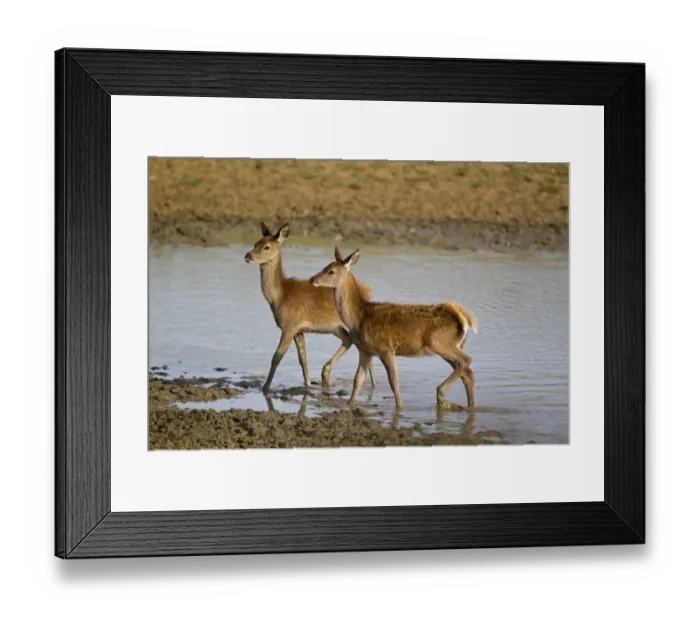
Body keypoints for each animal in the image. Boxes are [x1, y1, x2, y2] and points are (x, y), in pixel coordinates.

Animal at [244, 223, 376, 394]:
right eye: (255, 243)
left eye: (266, 246)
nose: (248, 256)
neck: (280, 295)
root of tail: (367, 290)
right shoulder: (299, 330)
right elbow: (302, 358)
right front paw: (307, 383)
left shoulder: (289, 326)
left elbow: (276, 357)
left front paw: (265, 387)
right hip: (337, 328)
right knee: (351, 343)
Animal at [309, 247, 478, 411]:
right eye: (325, 266)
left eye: (331, 271)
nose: (312, 280)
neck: (359, 318)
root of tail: (462, 315)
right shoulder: (365, 350)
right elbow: (358, 379)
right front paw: (350, 405)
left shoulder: (386, 348)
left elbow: (394, 382)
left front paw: (399, 409)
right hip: (451, 345)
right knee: (467, 373)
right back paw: (469, 407)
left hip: (440, 342)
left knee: (465, 361)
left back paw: (441, 392)